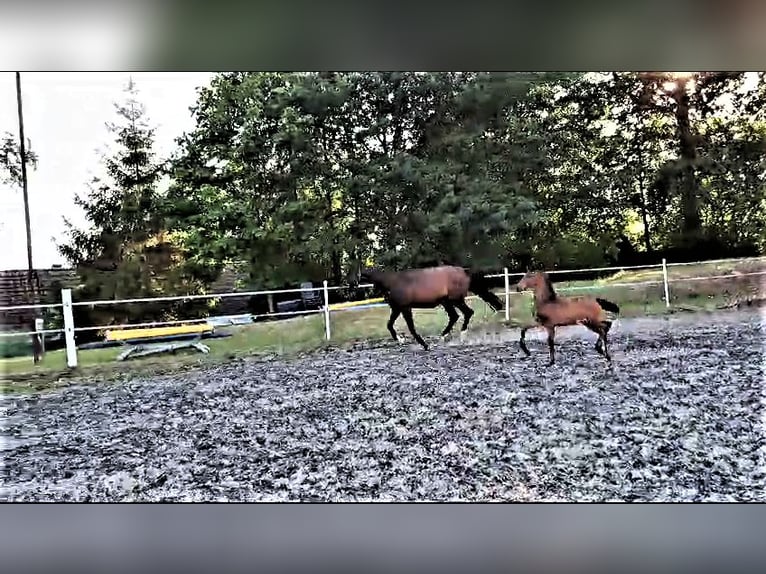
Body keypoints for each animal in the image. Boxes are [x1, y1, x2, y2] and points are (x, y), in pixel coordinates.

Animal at [358, 266, 504, 352]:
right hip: (447, 302)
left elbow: (411, 328)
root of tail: (464, 271)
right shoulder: (397, 308)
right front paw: (400, 340)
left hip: (455, 300)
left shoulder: (405, 308)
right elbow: (389, 325)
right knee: (455, 316)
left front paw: (424, 345)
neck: (392, 282)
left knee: (467, 313)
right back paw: (443, 337)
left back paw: (460, 336)